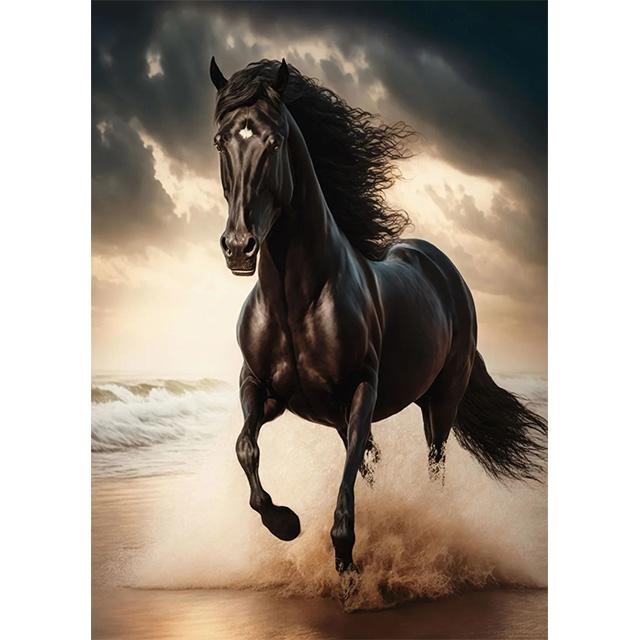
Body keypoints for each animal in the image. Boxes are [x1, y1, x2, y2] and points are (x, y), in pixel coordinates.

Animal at [209, 57, 546, 599]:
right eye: (221, 140)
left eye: (275, 141)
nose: (239, 247)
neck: (296, 300)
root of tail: (445, 270)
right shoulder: (262, 389)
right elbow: (246, 448)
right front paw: (286, 523)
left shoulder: (360, 391)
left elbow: (346, 484)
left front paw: (347, 565)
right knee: (370, 462)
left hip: (440, 400)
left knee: (433, 464)